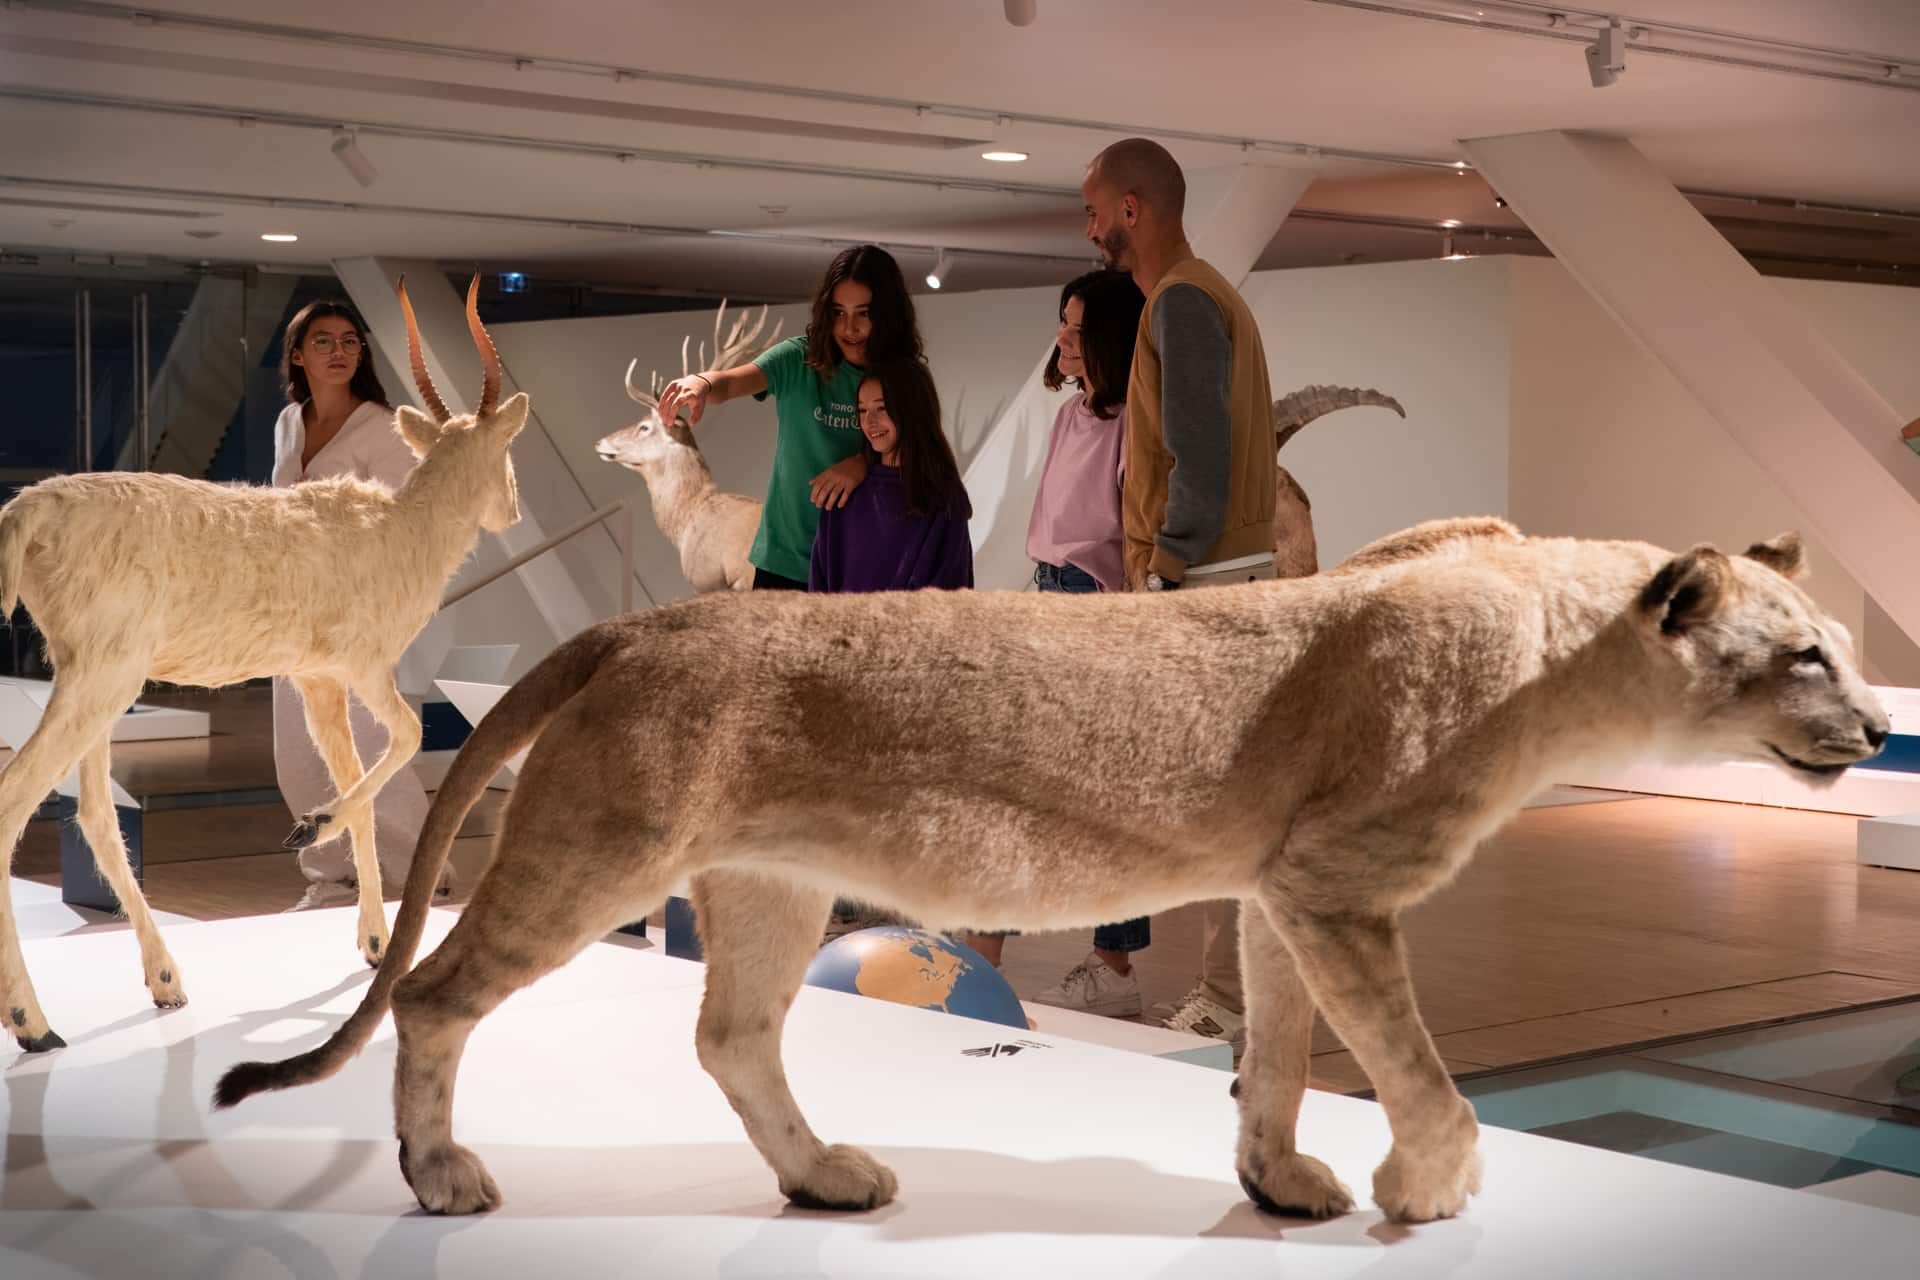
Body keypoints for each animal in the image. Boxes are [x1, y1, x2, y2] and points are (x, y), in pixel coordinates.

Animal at [0, 276, 526, 1059]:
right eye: (506, 449)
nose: (514, 512)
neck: (402, 531)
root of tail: (28, 509)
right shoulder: (363, 666)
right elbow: (404, 739)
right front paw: (311, 827)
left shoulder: (316, 679)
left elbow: (356, 782)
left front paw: (373, 941)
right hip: (102, 679)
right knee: (16, 798)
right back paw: (34, 1024)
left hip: (90, 678)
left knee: (93, 810)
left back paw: (166, 982)